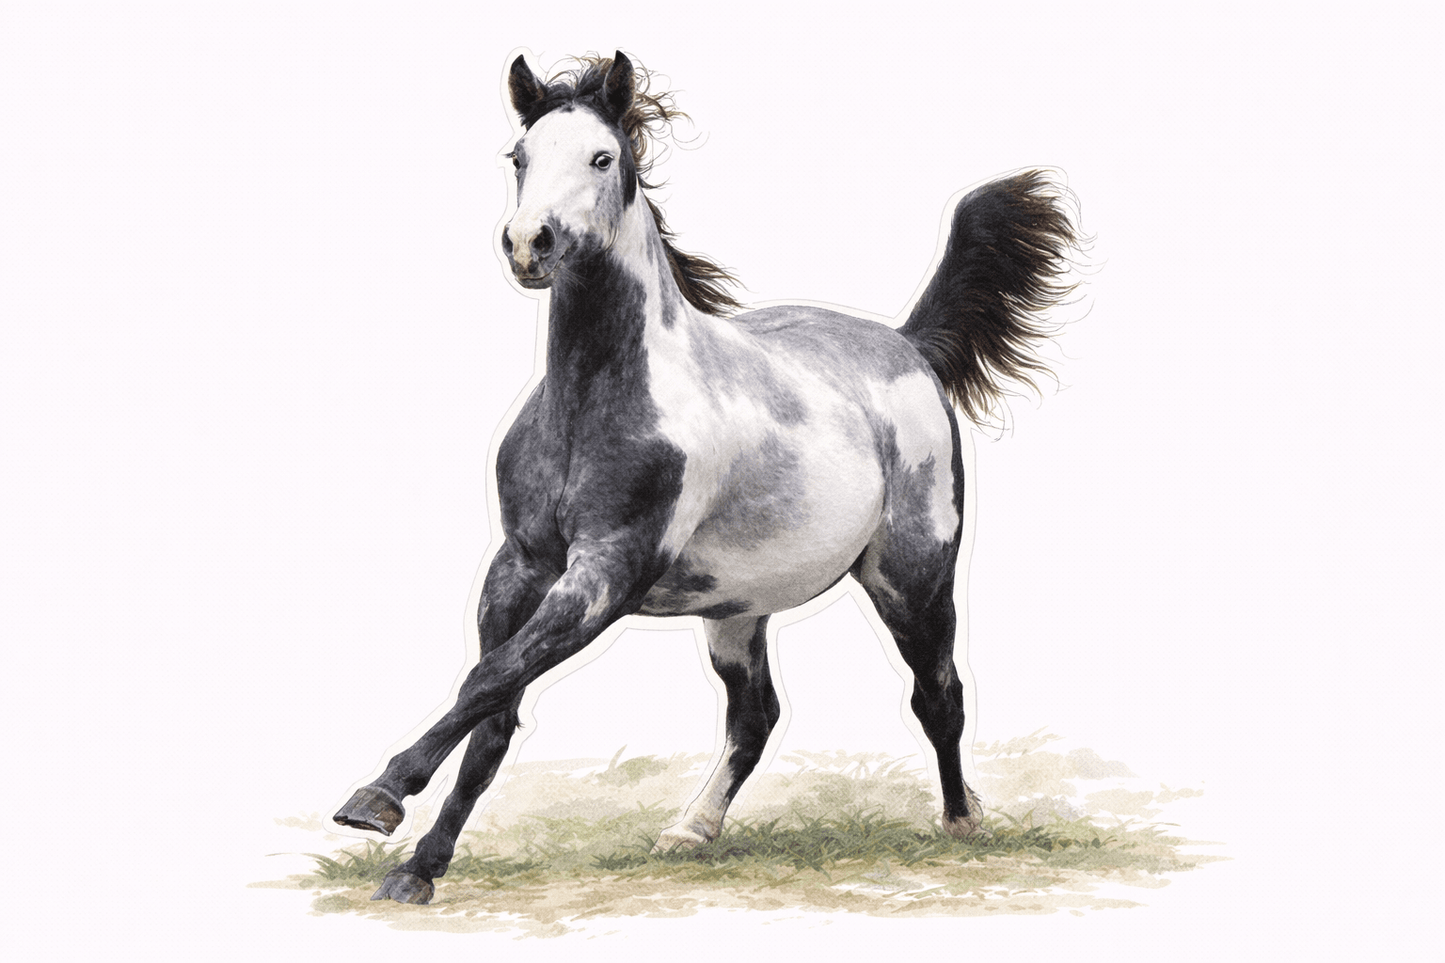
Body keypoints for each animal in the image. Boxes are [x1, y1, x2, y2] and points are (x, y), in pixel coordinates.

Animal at [333, 51, 1082, 905]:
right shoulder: (518, 567)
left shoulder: (605, 573)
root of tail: (907, 345)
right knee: (755, 716)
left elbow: (486, 682)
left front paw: (377, 798)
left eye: (602, 157)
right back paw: (690, 829)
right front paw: (416, 869)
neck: (592, 403)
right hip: (736, 609)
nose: (529, 245)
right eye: (518, 156)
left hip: (911, 576)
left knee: (939, 693)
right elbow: (491, 706)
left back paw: (962, 822)